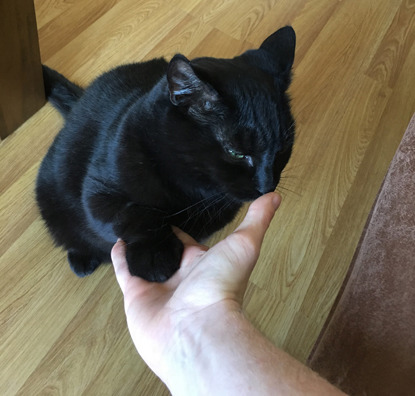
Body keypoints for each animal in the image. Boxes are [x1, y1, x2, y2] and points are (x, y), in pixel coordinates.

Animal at [35, 25, 296, 282]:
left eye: (283, 147)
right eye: (236, 152)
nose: (267, 185)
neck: (195, 188)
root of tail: (81, 99)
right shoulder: (99, 191)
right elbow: (133, 215)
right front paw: (154, 257)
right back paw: (82, 259)